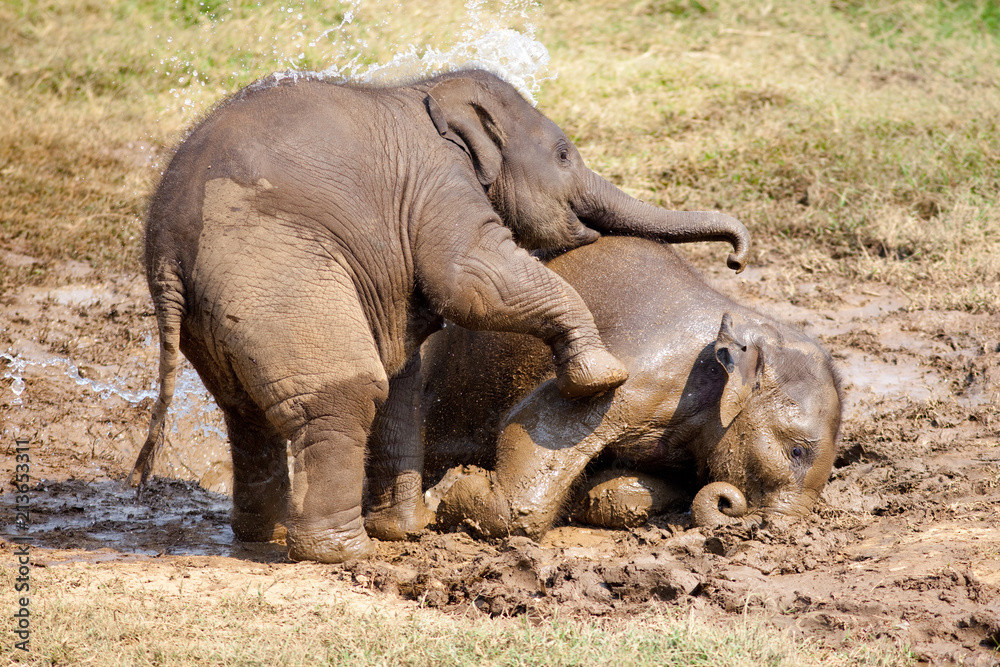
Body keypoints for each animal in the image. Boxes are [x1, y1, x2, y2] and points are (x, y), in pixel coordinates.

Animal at [128, 69, 752, 563]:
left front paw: (407, 532)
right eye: (563, 155)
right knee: (345, 393)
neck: (429, 89)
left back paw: (267, 536)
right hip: (277, 276)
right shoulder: (438, 187)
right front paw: (603, 377)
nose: (736, 258)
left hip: (222, 314)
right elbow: (474, 279)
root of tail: (165, 256)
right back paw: (341, 553)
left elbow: (405, 373)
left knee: (251, 412)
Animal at [421, 236, 843, 538]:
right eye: (797, 452)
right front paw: (448, 490)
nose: (730, 503)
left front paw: (590, 495)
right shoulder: (632, 379)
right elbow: (533, 436)